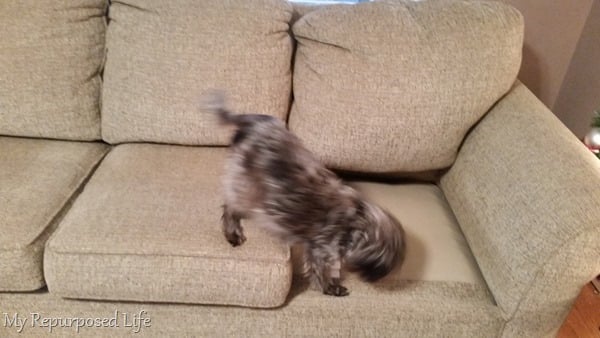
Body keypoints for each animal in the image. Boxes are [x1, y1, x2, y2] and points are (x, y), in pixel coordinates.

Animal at [204, 92, 406, 296]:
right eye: (378, 265)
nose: (373, 279)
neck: (356, 220)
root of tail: (252, 122)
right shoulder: (320, 250)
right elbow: (320, 272)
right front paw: (330, 288)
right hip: (247, 188)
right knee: (229, 207)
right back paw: (233, 233)